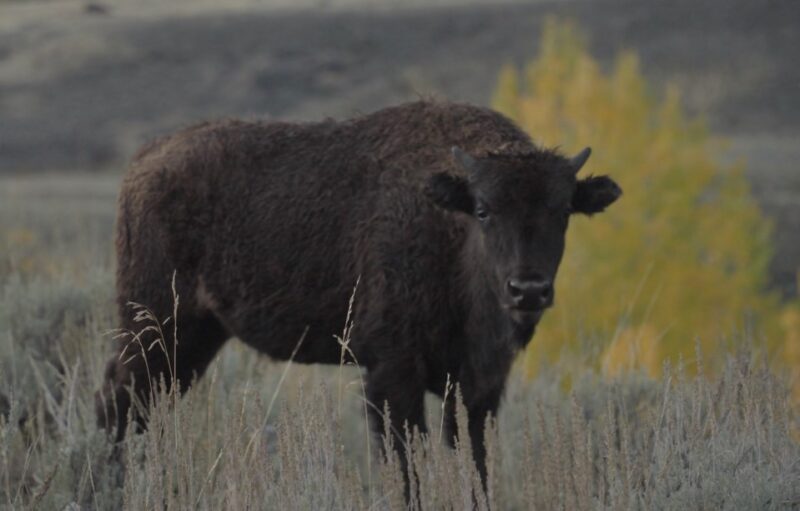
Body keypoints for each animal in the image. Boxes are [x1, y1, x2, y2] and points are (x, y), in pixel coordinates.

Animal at [97, 101, 620, 484]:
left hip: (195, 338)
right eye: (484, 210)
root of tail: (144, 163)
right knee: (119, 400)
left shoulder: (479, 387)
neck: (448, 226)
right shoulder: (392, 374)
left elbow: (475, 465)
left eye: (562, 211)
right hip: (154, 326)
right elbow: (407, 468)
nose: (528, 290)